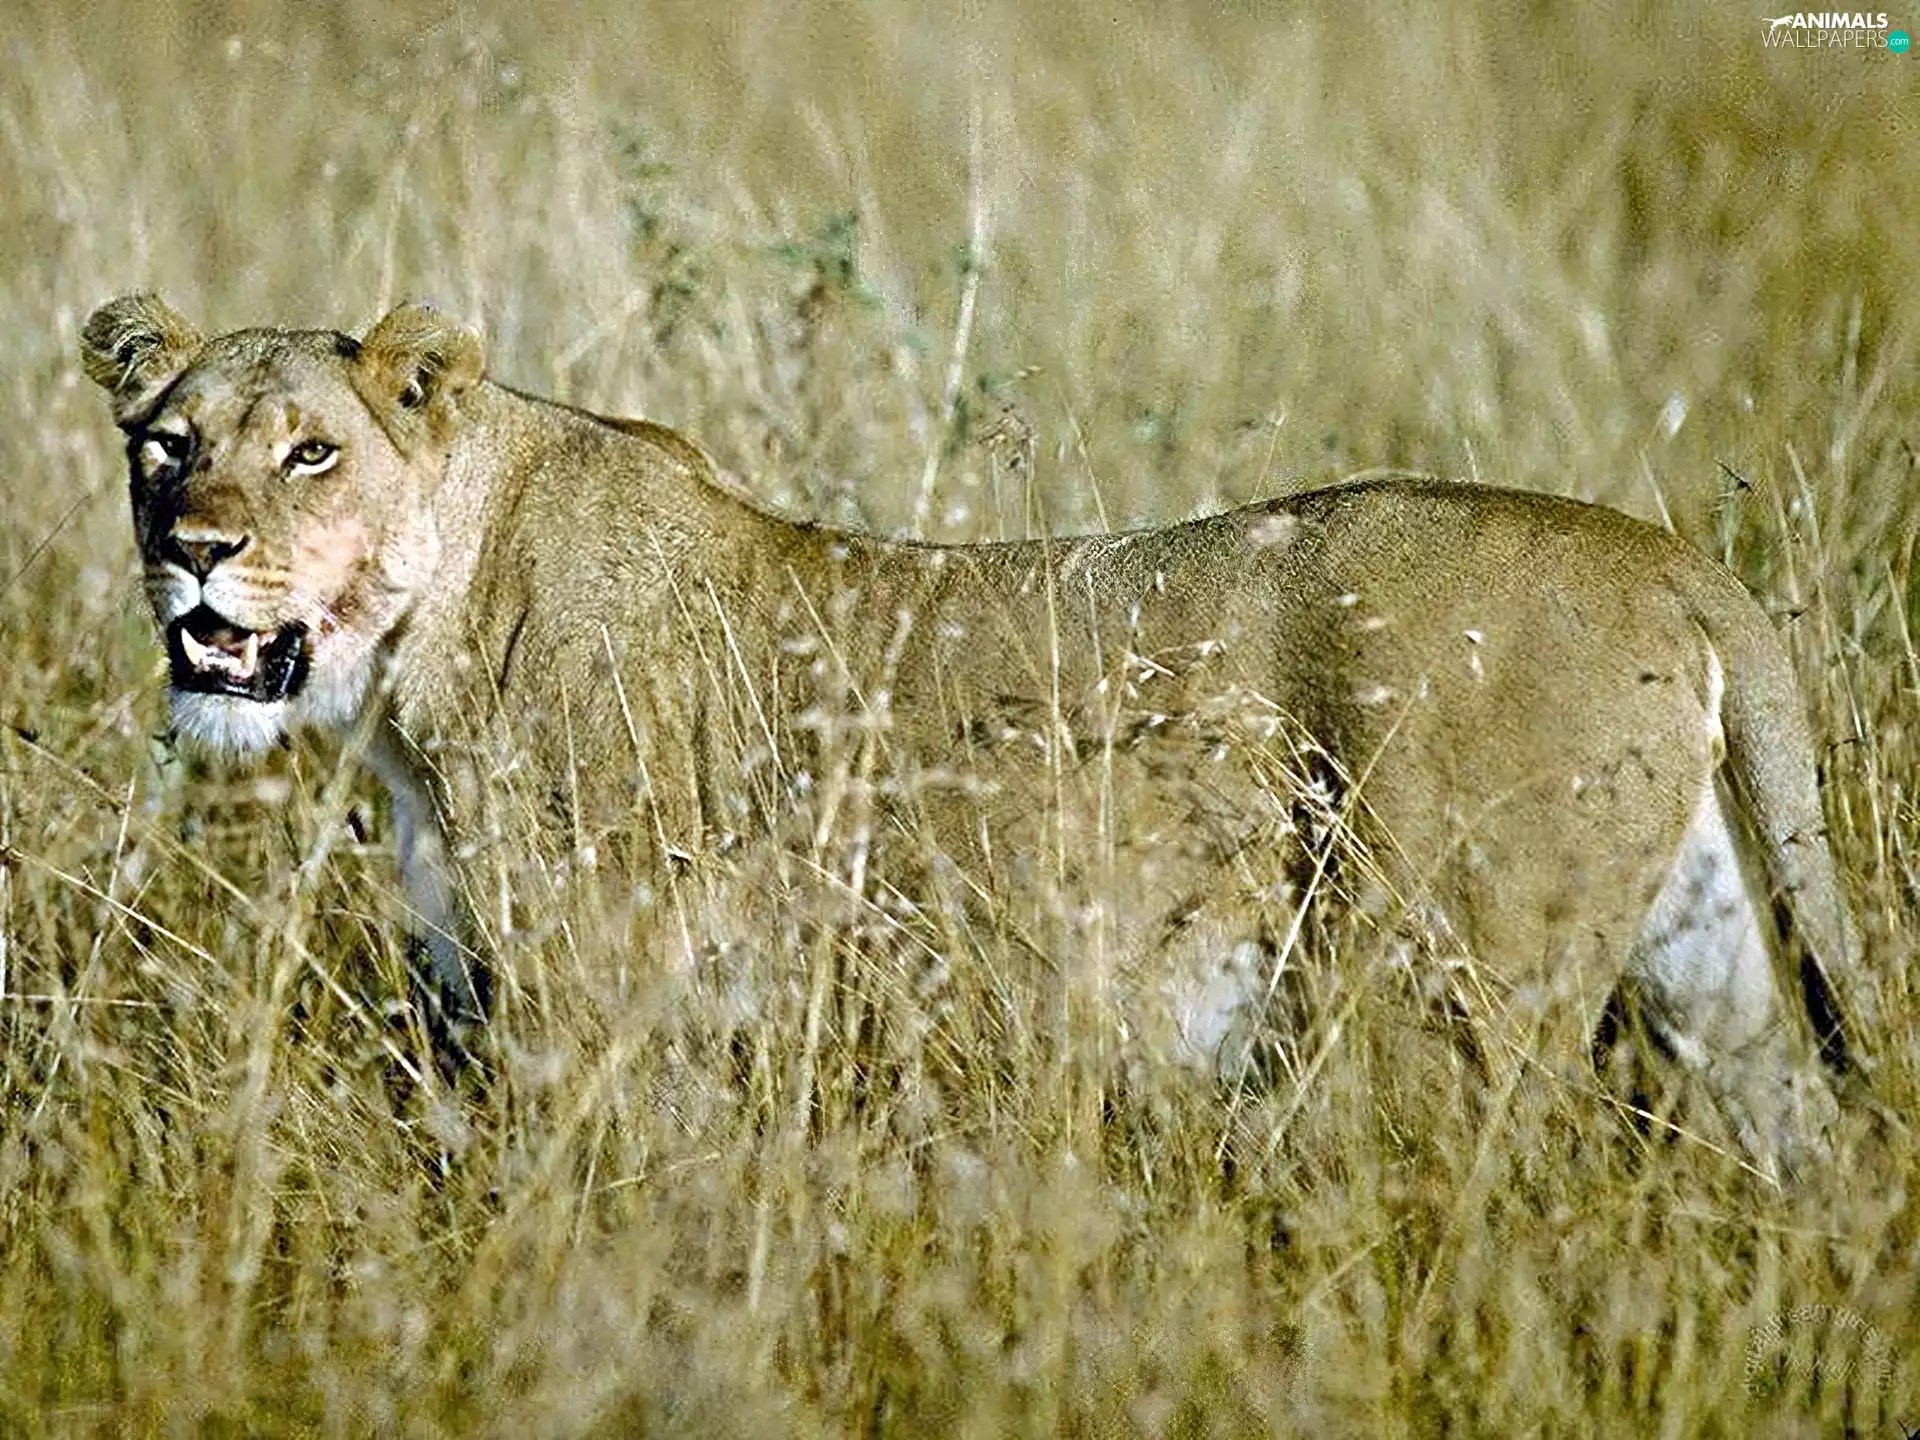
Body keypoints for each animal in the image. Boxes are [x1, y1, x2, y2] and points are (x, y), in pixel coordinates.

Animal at [79, 293, 1873, 1175]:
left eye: (311, 452)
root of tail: (1678, 562)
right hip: (1712, 970)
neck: (413, 657)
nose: (196, 549)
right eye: (167, 445)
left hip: (1429, 1005)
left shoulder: (605, 1017)